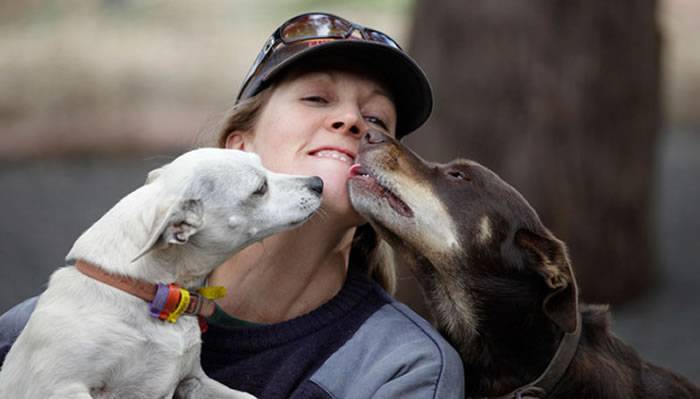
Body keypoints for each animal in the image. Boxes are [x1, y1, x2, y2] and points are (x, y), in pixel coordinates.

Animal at [0, 148, 322, 398]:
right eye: (260, 188)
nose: (318, 182)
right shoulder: (63, 387)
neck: (152, 293)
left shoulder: (193, 380)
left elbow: (246, 396)